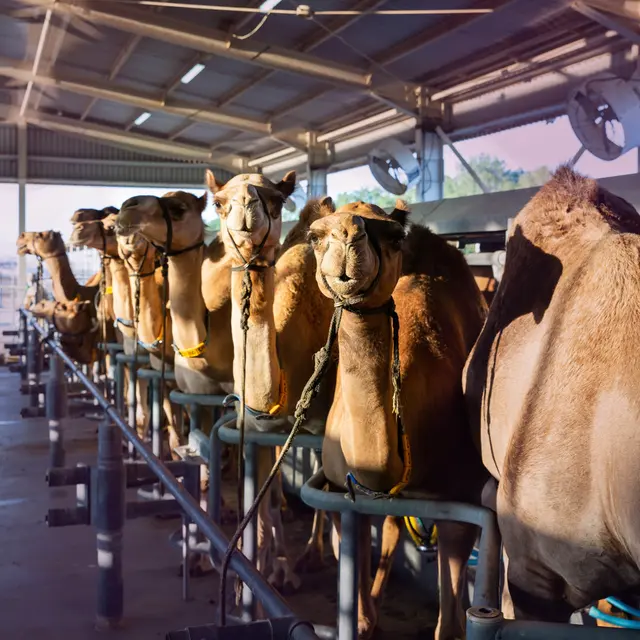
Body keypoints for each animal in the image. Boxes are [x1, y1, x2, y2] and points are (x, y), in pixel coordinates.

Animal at [308, 199, 488, 639]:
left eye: (391, 235)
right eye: (314, 236)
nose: (347, 233)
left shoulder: (461, 507)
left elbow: (450, 624)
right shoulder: (342, 494)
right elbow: (355, 605)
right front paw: (363, 616)